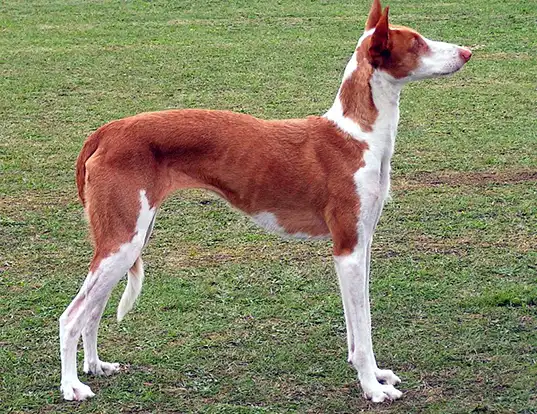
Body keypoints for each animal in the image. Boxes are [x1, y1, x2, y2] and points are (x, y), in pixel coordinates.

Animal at [59, 0, 468, 402]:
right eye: (416, 43)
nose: (467, 52)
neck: (356, 137)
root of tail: (105, 131)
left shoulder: (362, 244)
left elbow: (359, 324)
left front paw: (374, 374)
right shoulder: (347, 249)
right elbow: (363, 329)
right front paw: (372, 388)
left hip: (127, 240)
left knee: (92, 311)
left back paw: (95, 366)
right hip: (122, 243)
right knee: (71, 317)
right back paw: (72, 386)